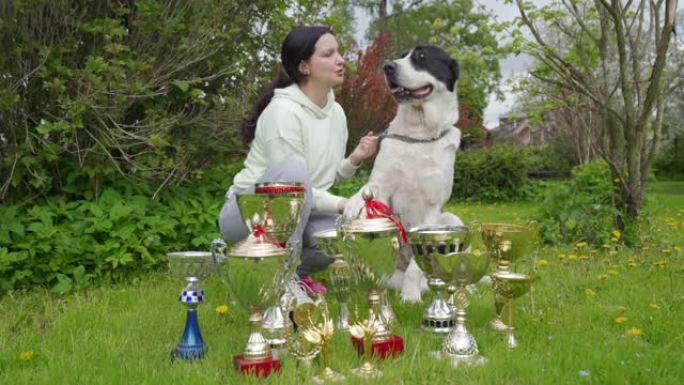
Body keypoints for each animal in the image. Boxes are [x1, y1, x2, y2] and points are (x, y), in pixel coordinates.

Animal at [344, 46, 462, 302]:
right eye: (400, 56)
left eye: (421, 57)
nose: (388, 67)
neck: (419, 134)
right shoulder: (382, 185)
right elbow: (370, 189)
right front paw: (354, 203)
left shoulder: (431, 210)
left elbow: (415, 267)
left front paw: (410, 297)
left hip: (451, 220)